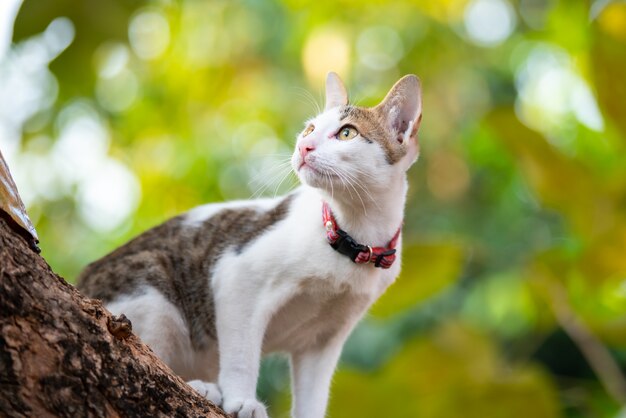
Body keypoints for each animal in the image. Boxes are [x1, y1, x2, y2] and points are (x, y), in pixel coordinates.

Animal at [77, 72, 420, 418]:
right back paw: (201, 386)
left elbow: (313, 395)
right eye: (310, 129)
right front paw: (241, 399)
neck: (354, 238)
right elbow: (241, 353)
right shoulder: (236, 277)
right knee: (148, 352)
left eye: (347, 133)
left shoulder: (325, 337)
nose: (303, 145)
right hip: (153, 291)